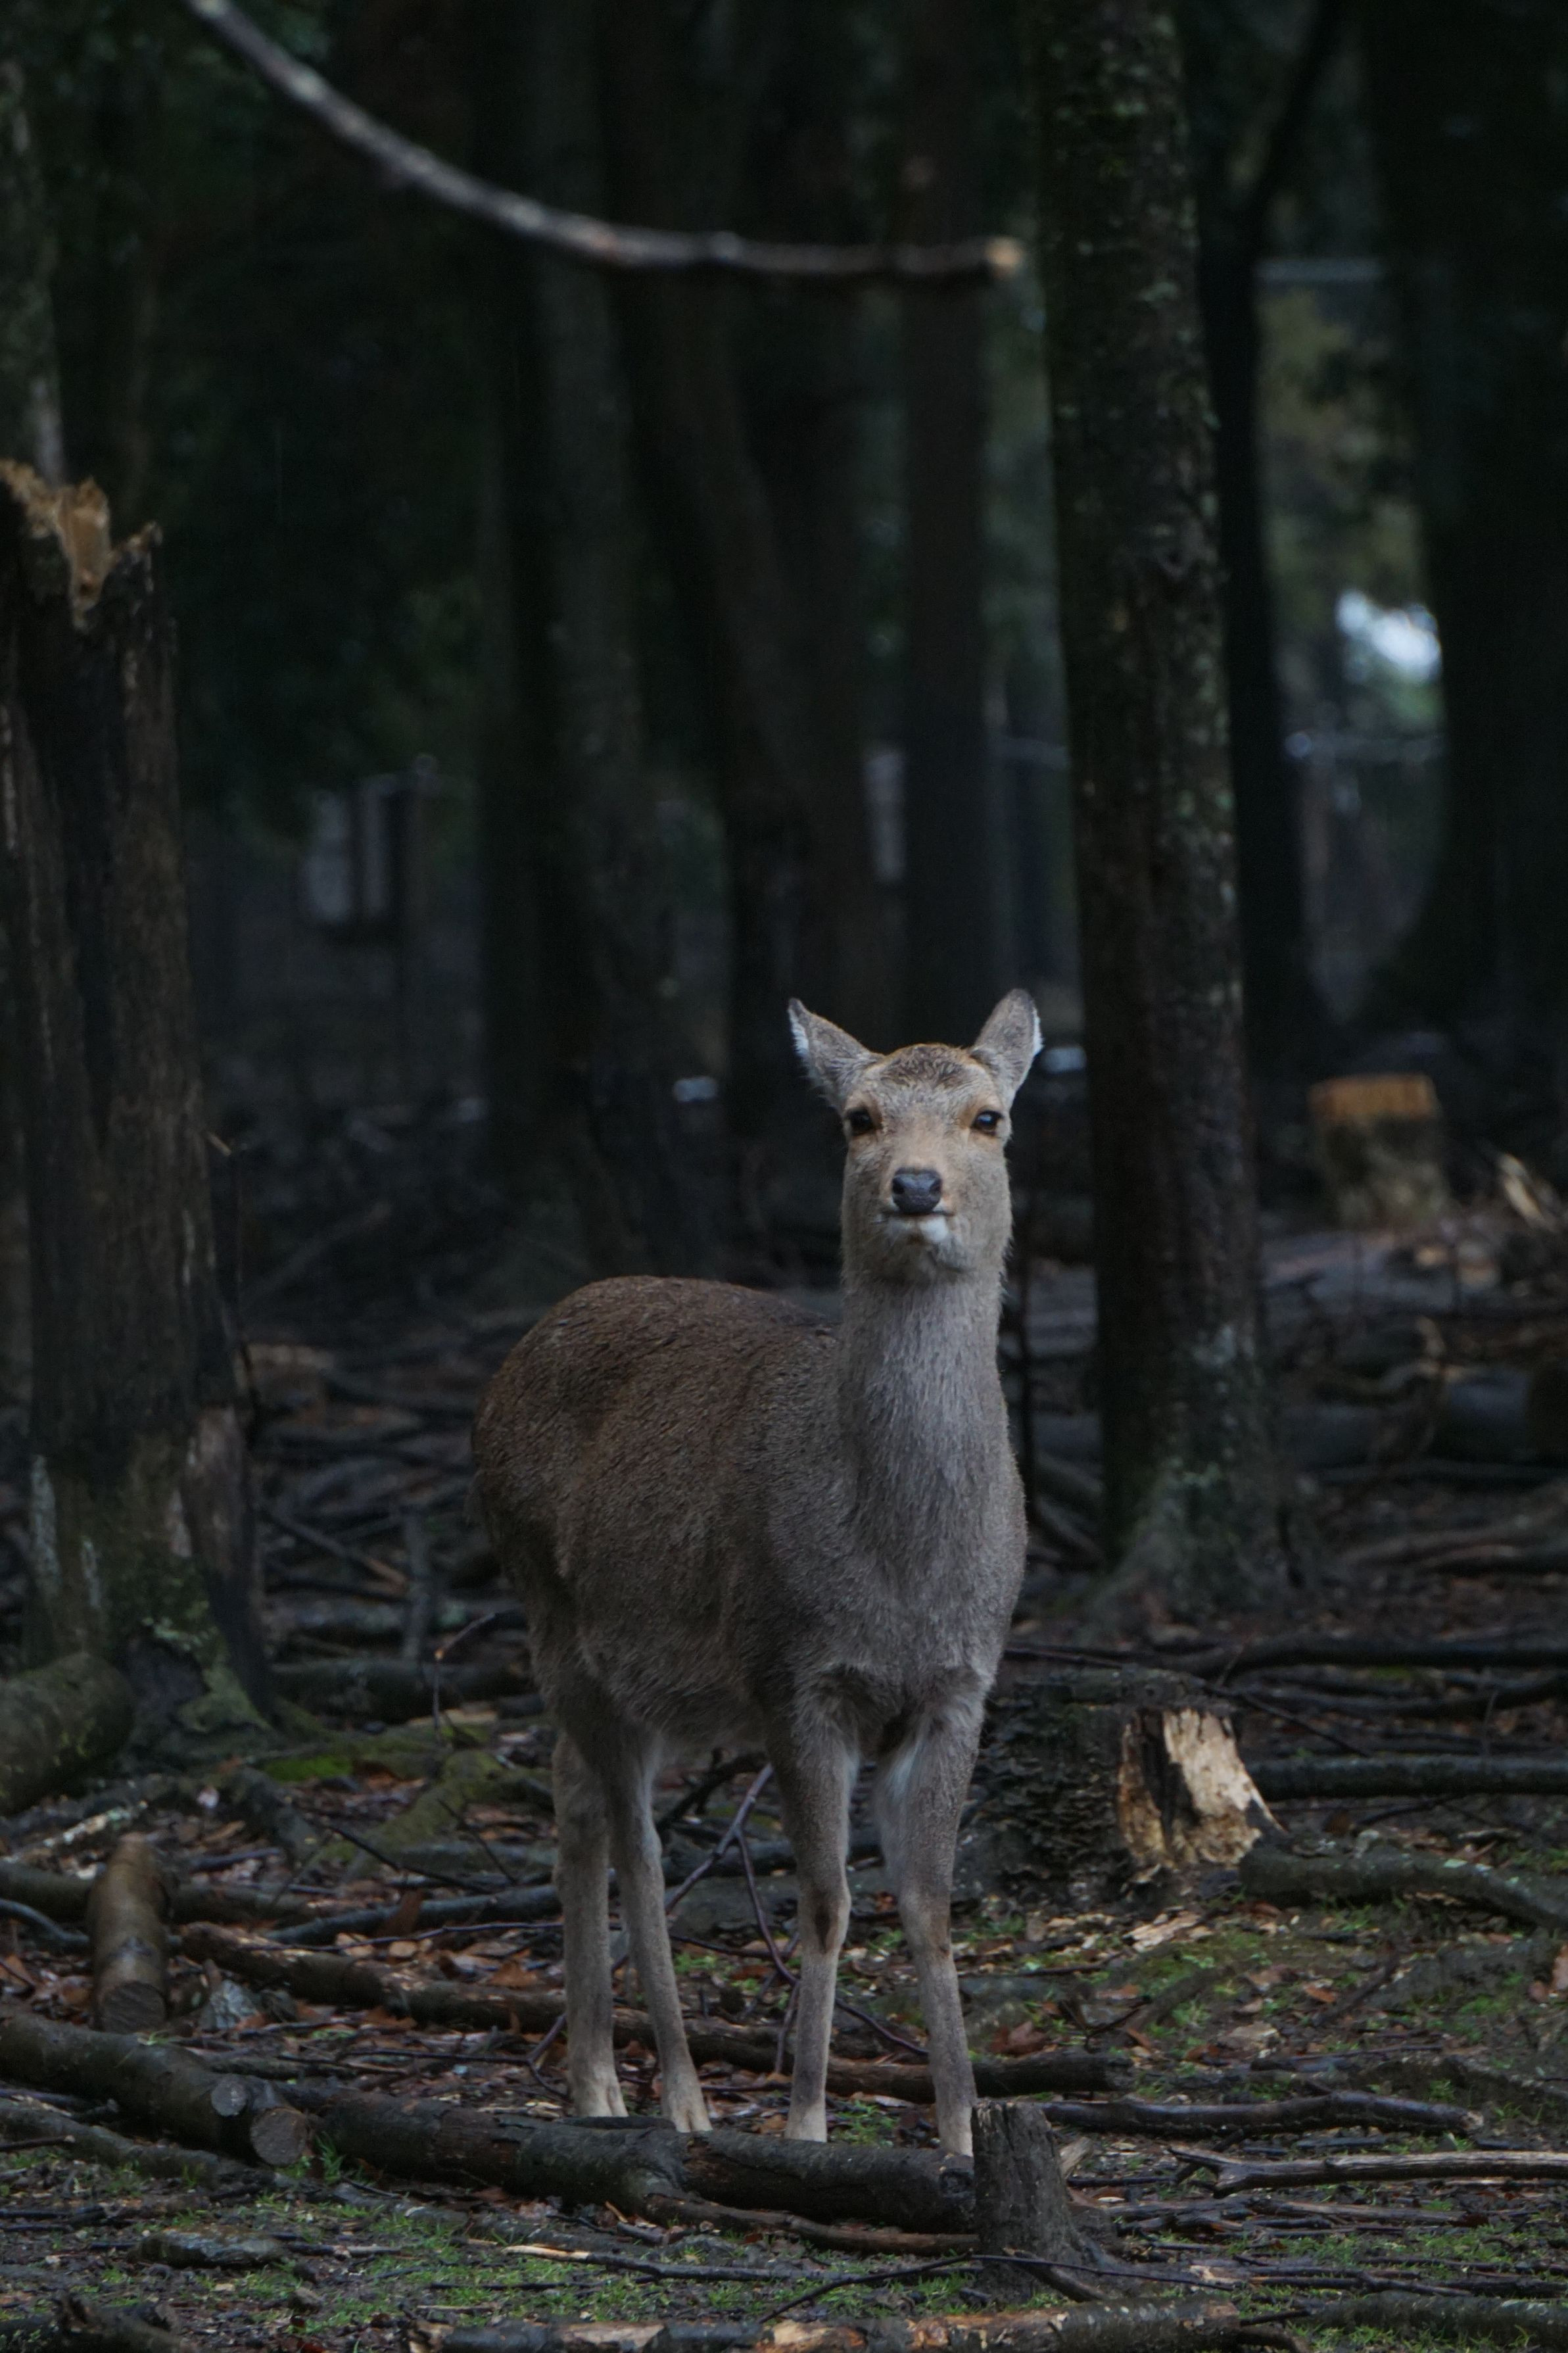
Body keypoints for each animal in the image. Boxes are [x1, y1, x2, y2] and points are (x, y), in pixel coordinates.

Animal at [472, 990, 1041, 2155]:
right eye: (859, 1118)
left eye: (989, 1116)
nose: (917, 1185)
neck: (902, 1563)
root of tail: (506, 1371)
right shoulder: (795, 1670)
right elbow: (825, 1899)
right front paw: (806, 2121)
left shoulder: (962, 1681)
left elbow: (930, 1905)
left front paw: (964, 2132)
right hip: (551, 1611)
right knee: (639, 1842)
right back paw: (682, 2098)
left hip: (636, 1682)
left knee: (572, 1793)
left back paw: (595, 2083)